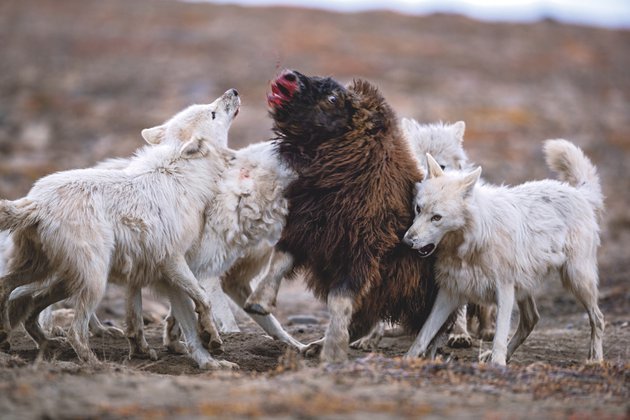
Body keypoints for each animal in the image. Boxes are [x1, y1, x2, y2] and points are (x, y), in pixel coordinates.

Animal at [404, 141, 608, 364]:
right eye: (418, 209)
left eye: (437, 217)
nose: (407, 240)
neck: (468, 246)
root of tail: (579, 194)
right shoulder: (450, 292)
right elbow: (423, 335)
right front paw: (406, 359)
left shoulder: (504, 290)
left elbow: (499, 337)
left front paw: (497, 364)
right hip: (527, 287)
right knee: (531, 319)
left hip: (577, 280)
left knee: (598, 318)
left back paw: (596, 359)